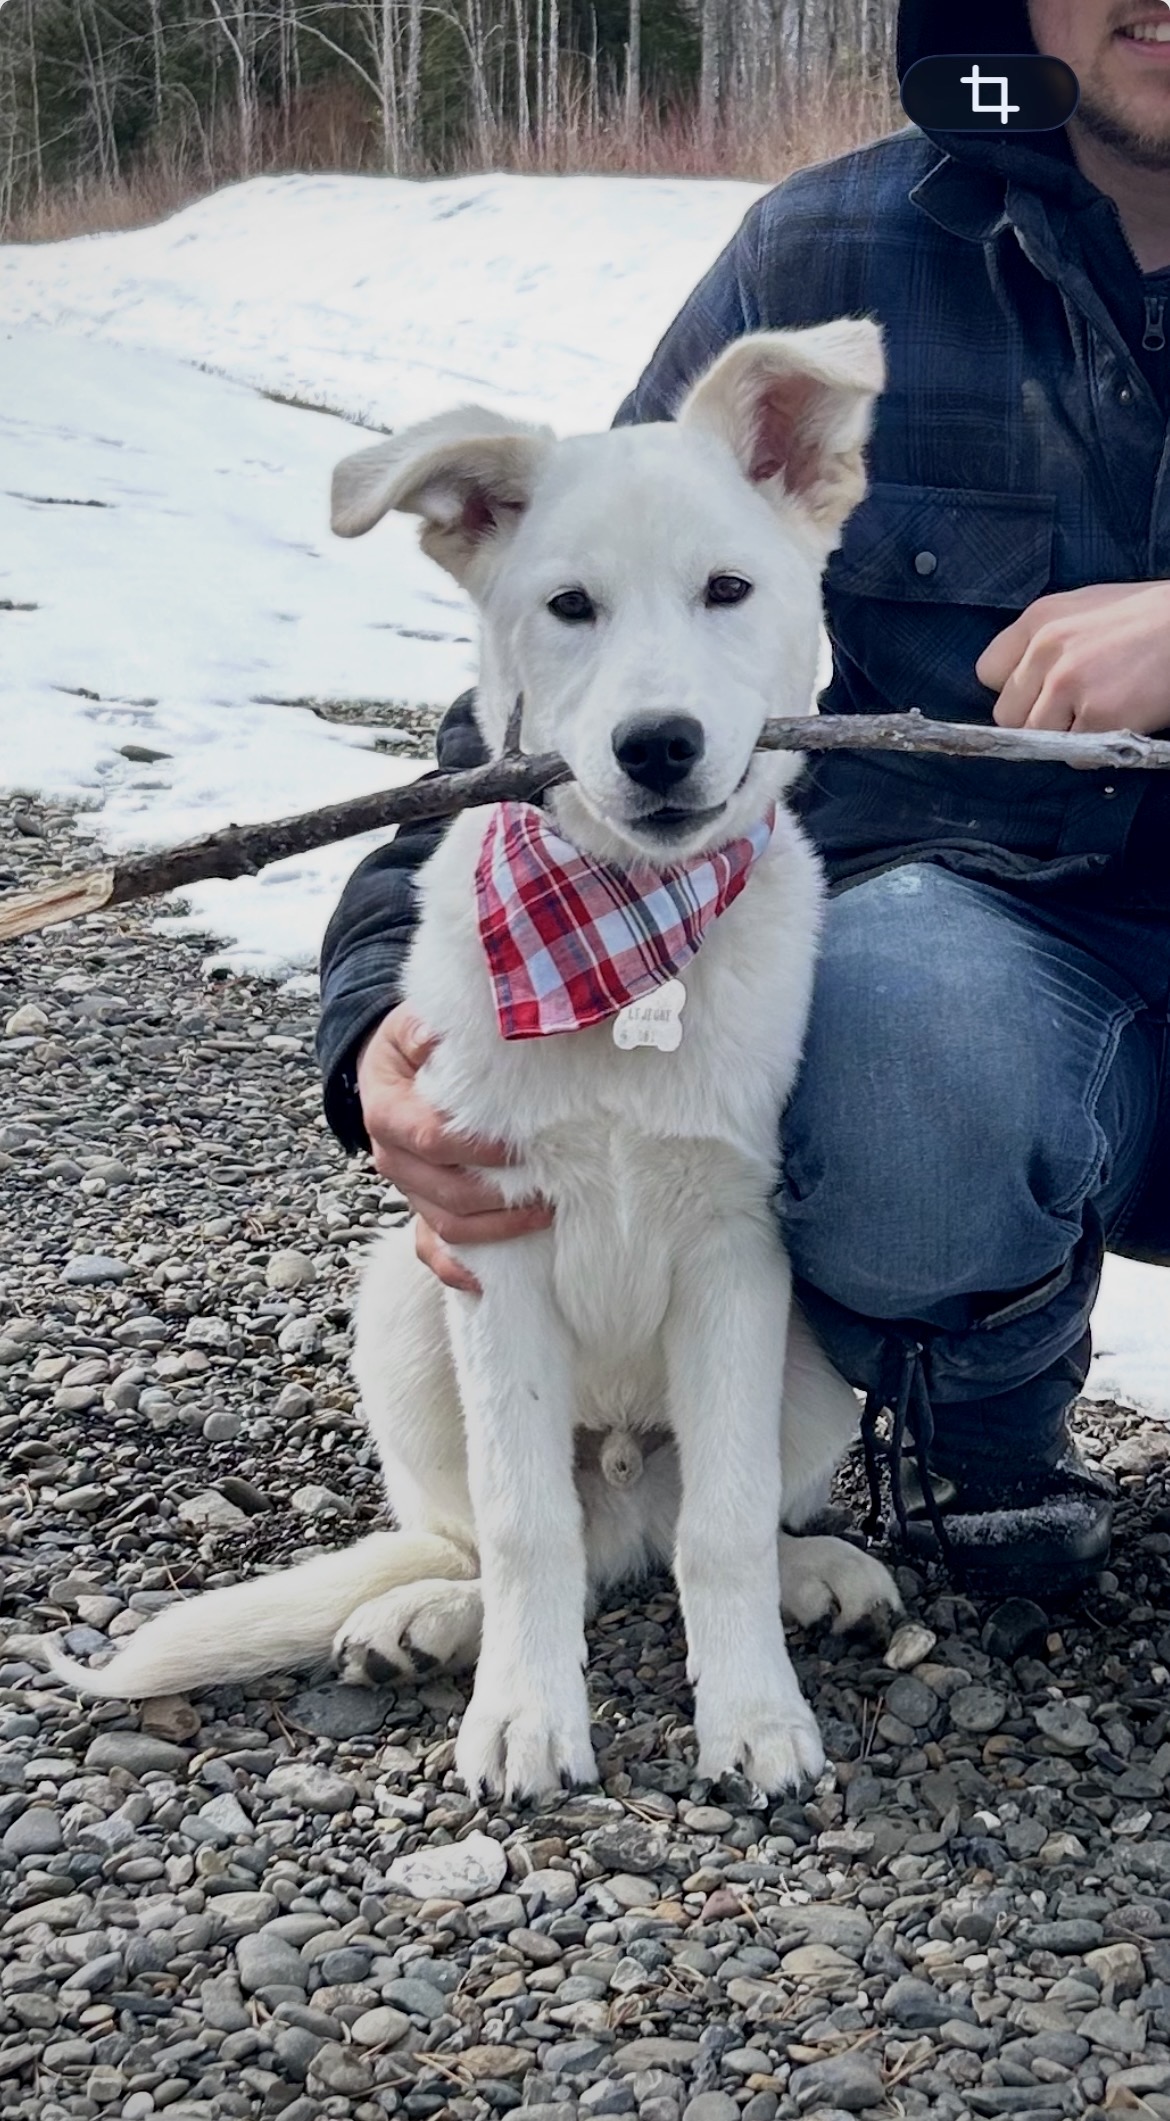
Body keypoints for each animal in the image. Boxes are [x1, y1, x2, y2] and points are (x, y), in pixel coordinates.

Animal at [49, 321, 901, 1799]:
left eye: (728, 590)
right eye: (568, 608)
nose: (657, 745)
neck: (623, 943)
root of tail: (621, 1479)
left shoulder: (736, 1252)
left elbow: (727, 1527)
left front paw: (751, 1716)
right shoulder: (492, 1238)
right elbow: (521, 1527)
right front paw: (525, 1716)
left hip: (812, 1362)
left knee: (690, 1528)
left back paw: (816, 1574)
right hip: (401, 1296)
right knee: (511, 1536)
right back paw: (428, 1620)